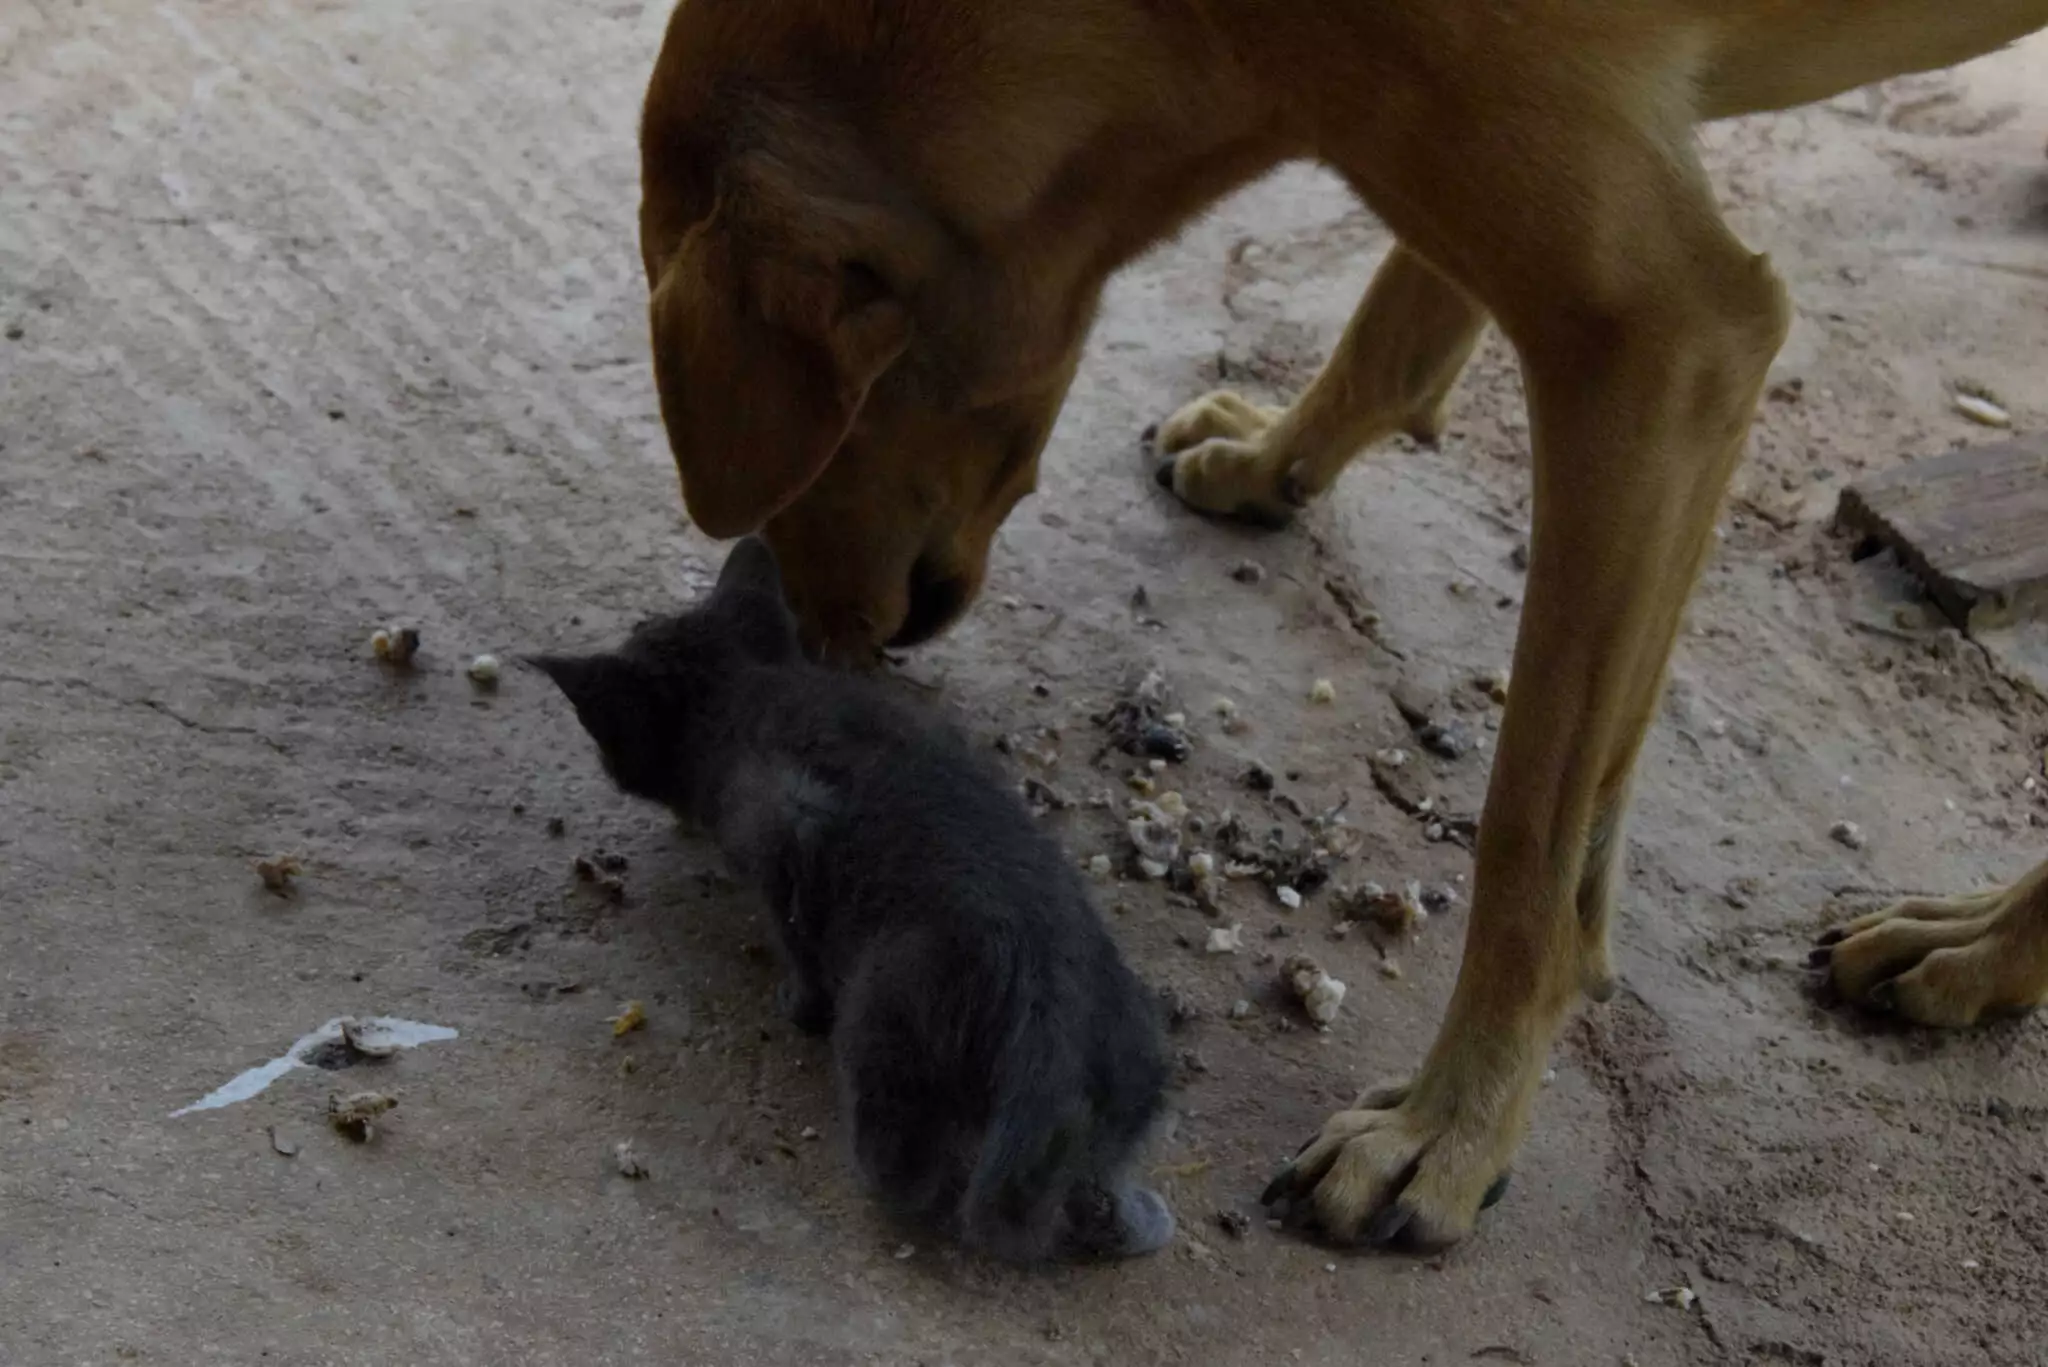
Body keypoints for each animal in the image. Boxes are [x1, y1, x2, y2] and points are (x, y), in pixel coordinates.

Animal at [536, 541, 1179, 1270]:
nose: (608, 771)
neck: (753, 692)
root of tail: (1053, 1015)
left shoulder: (785, 829)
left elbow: (797, 935)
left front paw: (799, 1003)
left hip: (888, 1015)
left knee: (909, 1166)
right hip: (1129, 1074)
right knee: (1092, 1187)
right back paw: (1136, 1219)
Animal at [638, 2, 2048, 1254]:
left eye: (820, 428)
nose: (817, 638)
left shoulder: (1659, 337)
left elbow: (1530, 830)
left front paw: (1450, 1125)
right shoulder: (1467, 188)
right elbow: (1403, 321)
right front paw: (1273, 455)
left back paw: (1981, 938)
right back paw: (1985, 949)